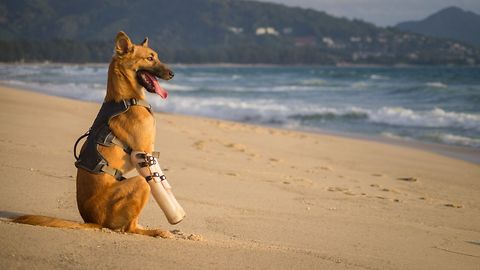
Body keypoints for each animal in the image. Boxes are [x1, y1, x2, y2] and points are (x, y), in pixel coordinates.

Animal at [12, 32, 174, 238]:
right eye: (150, 58)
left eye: (156, 56)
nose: (172, 73)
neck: (126, 98)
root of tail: (91, 221)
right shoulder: (143, 152)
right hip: (141, 184)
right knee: (129, 228)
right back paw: (155, 231)